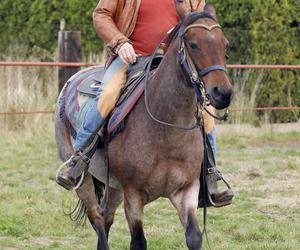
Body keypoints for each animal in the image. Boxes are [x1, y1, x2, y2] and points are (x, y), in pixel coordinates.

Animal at [54, 4, 232, 250]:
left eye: (225, 45)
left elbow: (194, 236)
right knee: (97, 218)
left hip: (113, 187)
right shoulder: (134, 196)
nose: (223, 93)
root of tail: (72, 80)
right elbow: (138, 241)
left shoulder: (186, 190)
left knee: (105, 217)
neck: (167, 130)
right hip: (84, 180)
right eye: (194, 44)